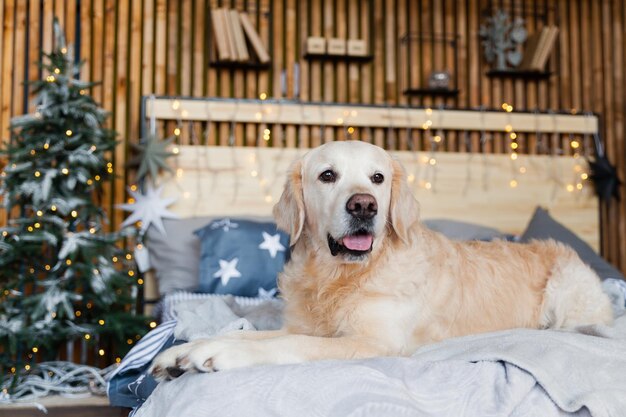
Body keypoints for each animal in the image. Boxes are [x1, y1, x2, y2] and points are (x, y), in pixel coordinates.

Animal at [150, 141, 608, 380]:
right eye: (327, 175)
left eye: (378, 178)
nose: (364, 206)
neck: (340, 276)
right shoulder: (304, 324)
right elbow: (257, 334)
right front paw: (183, 352)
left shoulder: (374, 342)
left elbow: (287, 345)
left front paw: (223, 355)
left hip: (567, 287)